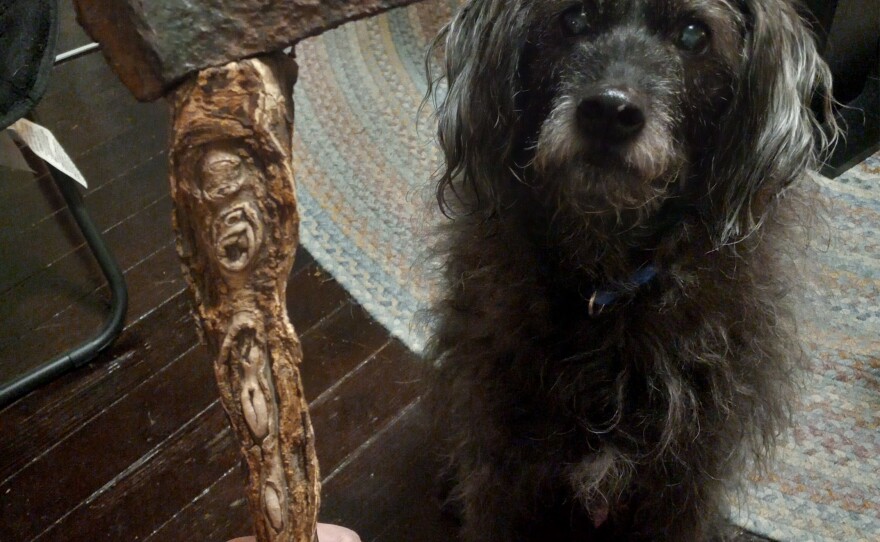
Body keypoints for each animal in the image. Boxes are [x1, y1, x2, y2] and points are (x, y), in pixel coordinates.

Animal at [424, 0, 832, 540]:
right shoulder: (501, 464)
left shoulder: (684, 484)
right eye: (573, 19)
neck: (606, 282)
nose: (609, 114)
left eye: (693, 34)